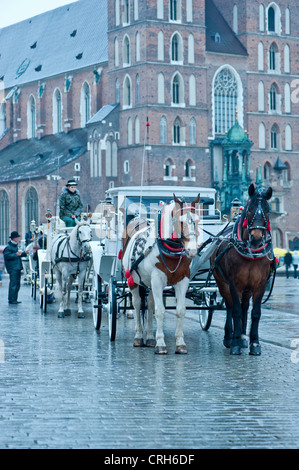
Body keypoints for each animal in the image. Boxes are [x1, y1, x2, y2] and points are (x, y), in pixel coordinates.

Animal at [120, 194, 203, 352]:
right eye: (180, 221)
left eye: (197, 221)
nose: (192, 250)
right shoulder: (157, 280)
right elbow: (160, 311)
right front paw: (160, 343)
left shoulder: (182, 280)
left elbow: (180, 310)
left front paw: (180, 343)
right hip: (133, 281)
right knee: (137, 304)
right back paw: (139, 336)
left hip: (150, 284)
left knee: (150, 304)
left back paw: (149, 337)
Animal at [212, 185, 276, 354]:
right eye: (249, 209)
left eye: (267, 210)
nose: (256, 238)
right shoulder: (234, 284)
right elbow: (236, 311)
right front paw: (234, 343)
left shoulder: (260, 285)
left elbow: (255, 313)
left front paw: (255, 343)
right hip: (222, 283)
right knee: (230, 306)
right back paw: (230, 337)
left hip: (247, 289)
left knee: (245, 307)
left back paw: (242, 338)